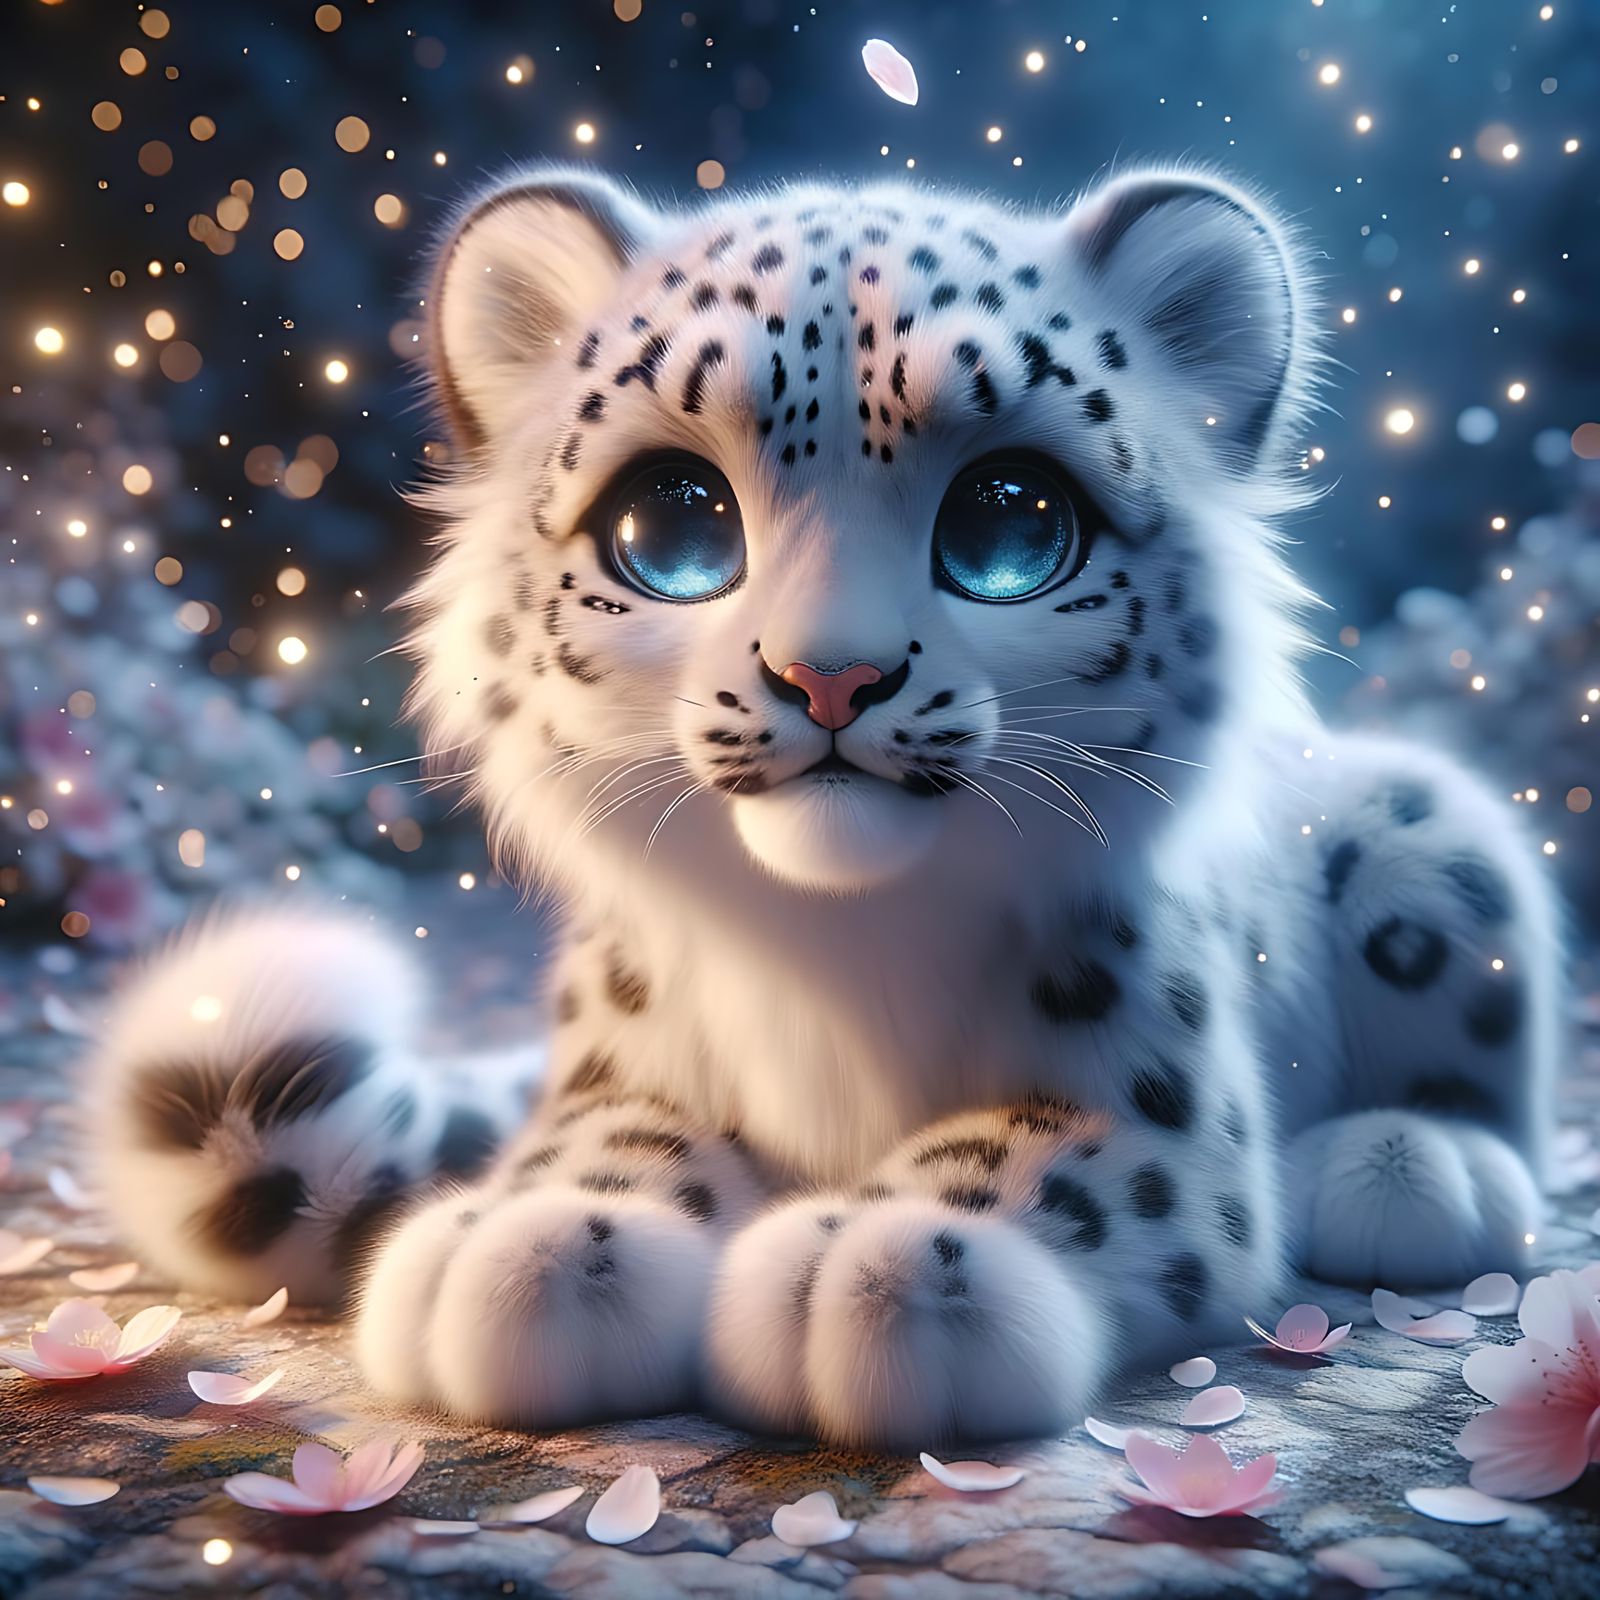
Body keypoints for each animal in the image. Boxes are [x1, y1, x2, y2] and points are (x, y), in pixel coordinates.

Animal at [86, 164, 1560, 1448]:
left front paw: (878, 1260)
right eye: (672, 521)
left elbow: (1056, 1154)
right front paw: (534, 1239)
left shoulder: (1171, 1114)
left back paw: (1416, 1166)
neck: (840, 970)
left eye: (1013, 521)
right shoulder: (625, 1043)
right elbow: (613, 1129)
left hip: (1428, 824)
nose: (831, 676)